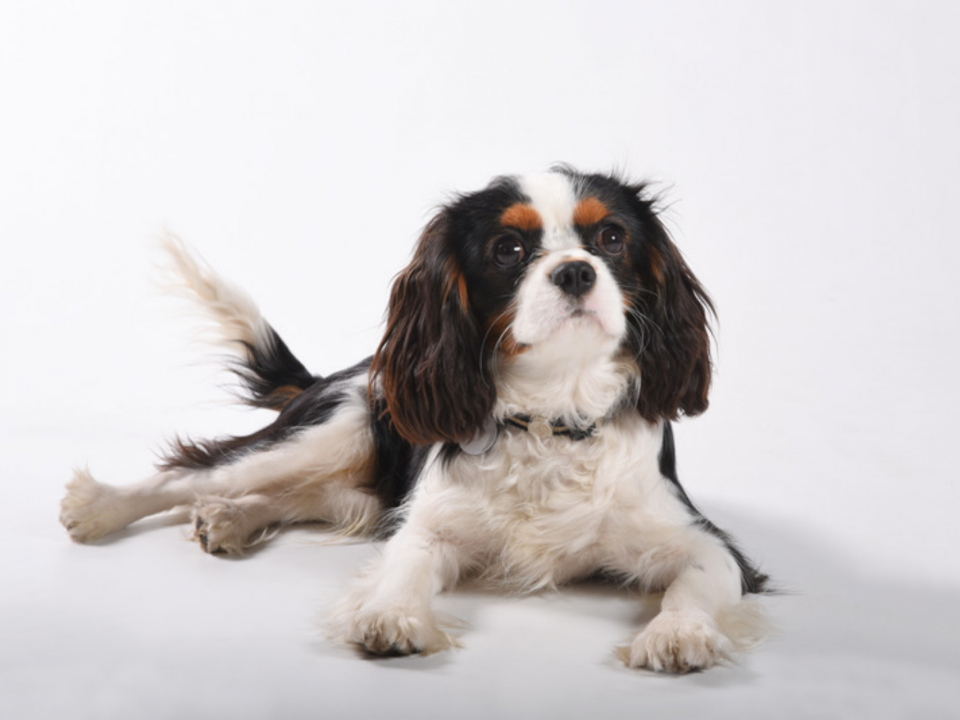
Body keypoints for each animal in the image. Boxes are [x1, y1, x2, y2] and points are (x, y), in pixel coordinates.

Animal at [60, 166, 768, 672]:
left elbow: (697, 581)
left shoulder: (708, 542)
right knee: (196, 471)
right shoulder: (429, 524)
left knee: (292, 497)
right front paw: (392, 619)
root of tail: (333, 376)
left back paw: (231, 518)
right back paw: (101, 507)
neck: (551, 417)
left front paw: (679, 632)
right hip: (330, 431)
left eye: (612, 238)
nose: (575, 272)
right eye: (508, 248)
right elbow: (408, 564)